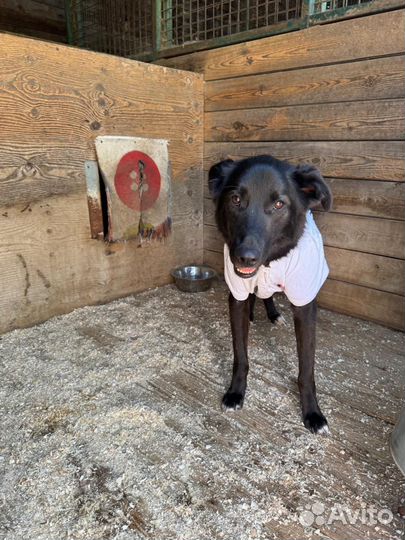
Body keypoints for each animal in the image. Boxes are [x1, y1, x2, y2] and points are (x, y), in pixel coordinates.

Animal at [208, 155, 332, 434]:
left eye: (278, 204)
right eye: (235, 199)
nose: (245, 257)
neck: (268, 263)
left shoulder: (305, 306)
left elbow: (306, 369)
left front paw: (313, 413)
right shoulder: (237, 296)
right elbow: (240, 356)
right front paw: (236, 393)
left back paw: (273, 314)